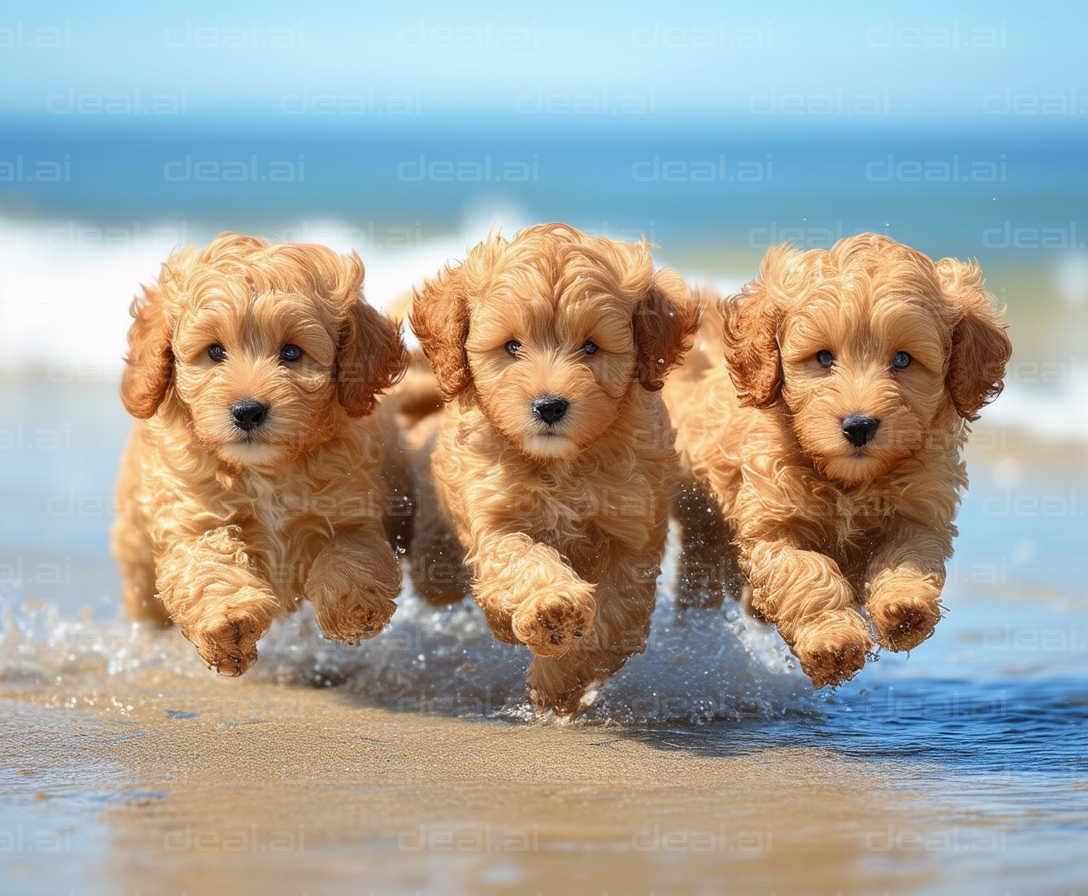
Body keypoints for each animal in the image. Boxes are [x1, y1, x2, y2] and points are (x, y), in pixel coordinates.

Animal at [111, 234, 409, 674]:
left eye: (292, 353)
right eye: (214, 351)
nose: (248, 410)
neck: (266, 470)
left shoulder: (351, 506)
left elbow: (351, 553)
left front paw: (352, 608)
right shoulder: (195, 517)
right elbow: (211, 562)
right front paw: (229, 624)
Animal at [670, 234, 1009, 691]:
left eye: (903, 360)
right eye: (823, 358)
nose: (859, 425)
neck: (850, 482)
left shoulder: (921, 506)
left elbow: (909, 553)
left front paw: (905, 609)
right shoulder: (773, 519)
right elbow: (805, 571)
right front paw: (832, 643)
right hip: (702, 524)